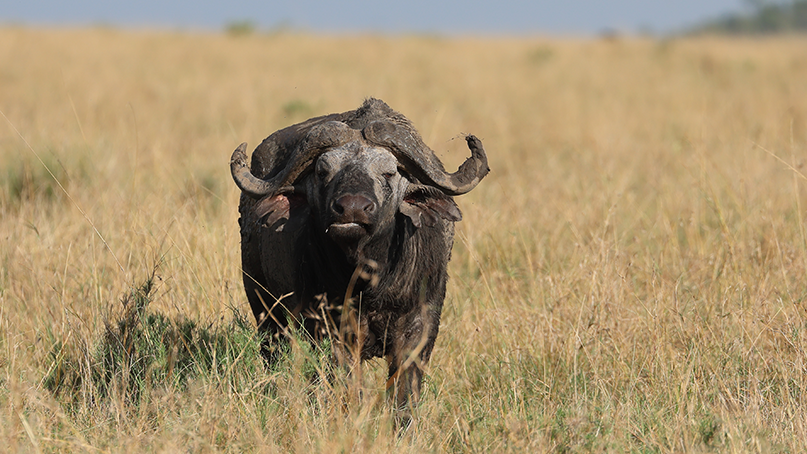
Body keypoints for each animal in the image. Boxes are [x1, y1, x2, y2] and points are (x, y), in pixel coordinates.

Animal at [230, 98, 489, 412]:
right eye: (323, 171)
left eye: (389, 172)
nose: (352, 208)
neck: (371, 281)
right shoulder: (331, 328)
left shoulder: (421, 325)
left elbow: (404, 391)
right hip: (263, 303)